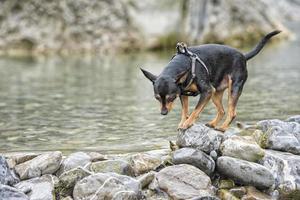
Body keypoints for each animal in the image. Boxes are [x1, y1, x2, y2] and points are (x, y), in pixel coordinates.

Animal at [142, 30, 280, 131]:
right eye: (157, 98)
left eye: (171, 98)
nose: (163, 113)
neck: (184, 64)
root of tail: (243, 56)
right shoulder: (183, 93)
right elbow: (185, 111)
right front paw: (183, 122)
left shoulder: (206, 91)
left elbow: (195, 111)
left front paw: (187, 123)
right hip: (215, 93)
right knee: (222, 111)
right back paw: (213, 124)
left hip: (232, 89)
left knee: (231, 112)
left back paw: (222, 128)